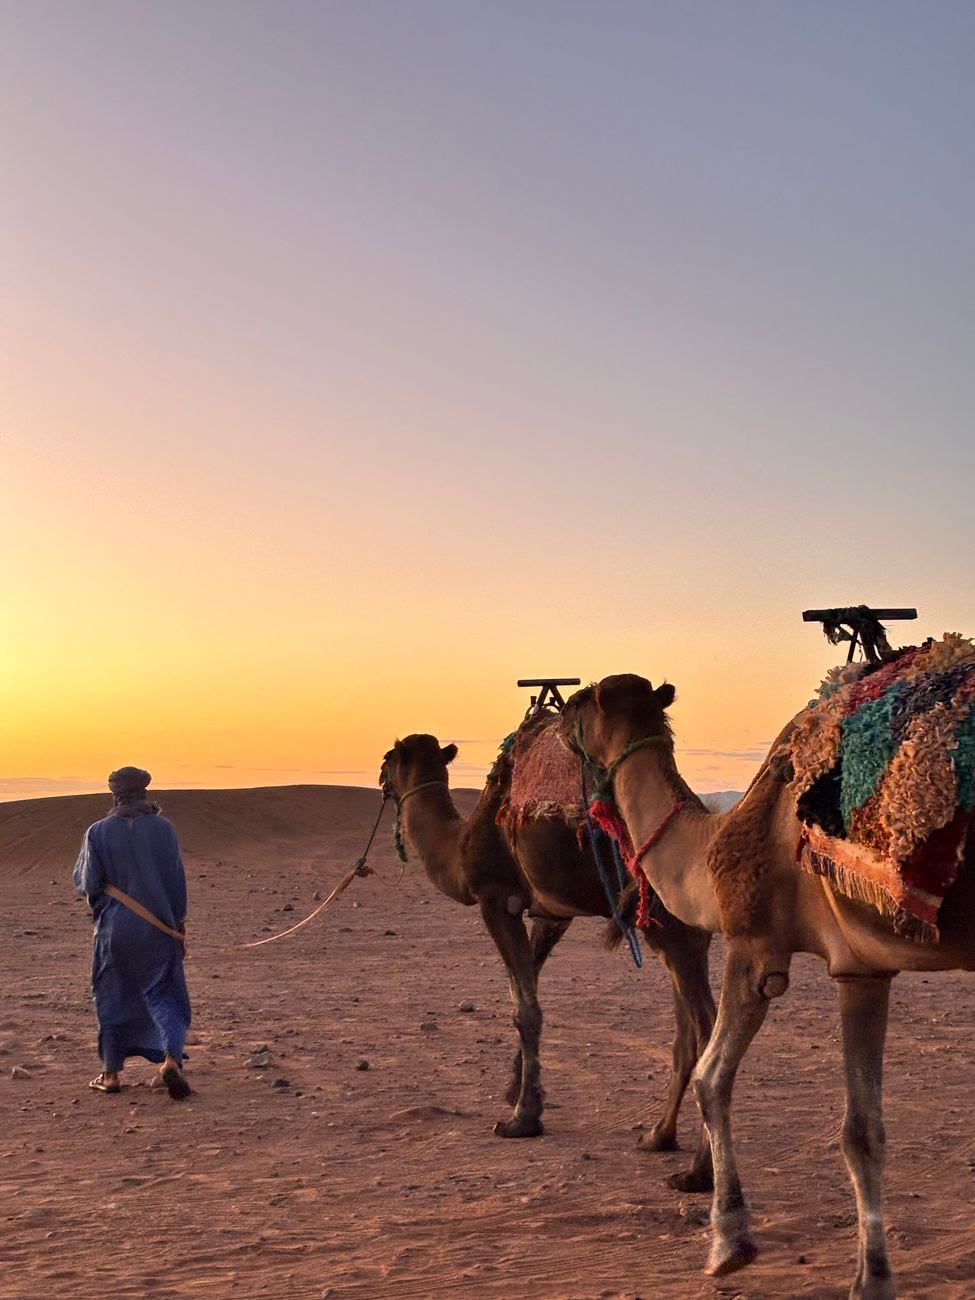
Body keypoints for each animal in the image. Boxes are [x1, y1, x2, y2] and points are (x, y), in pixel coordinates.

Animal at [379, 716, 716, 1190]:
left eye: (389, 758)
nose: (381, 780)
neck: (461, 844)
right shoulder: (551, 914)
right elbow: (530, 990)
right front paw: (516, 1088)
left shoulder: (495, 898)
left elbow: (525, 1008)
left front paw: (522, 1118)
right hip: (673, 929)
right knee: (686, 1032)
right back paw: (658, 1136)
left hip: (671, 924)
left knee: (705, 1028)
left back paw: (699, 1171)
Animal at [557, 671, 975, 1300]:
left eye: (581, 700)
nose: (554, 719)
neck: (714, 842)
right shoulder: (861, 968)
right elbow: (863, 1131)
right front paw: (871, 1277)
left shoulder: (752, 946)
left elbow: (711, 1078)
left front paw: (729, 1242)